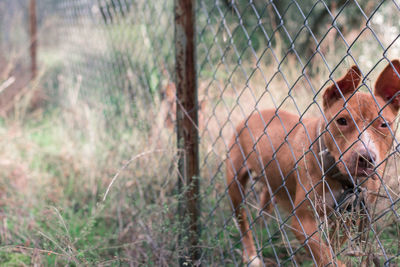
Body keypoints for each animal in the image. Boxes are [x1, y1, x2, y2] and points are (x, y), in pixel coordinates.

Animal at [227, 59, 400, 266]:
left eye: (384, 124)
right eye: (342, 120)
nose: (366, 158)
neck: (339, 174)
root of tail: (252, 115)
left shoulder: (347, 217)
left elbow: (331, 248)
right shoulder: (303, 220)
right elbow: (325, 254)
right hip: (235, 184)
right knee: (242, 220)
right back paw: (252, 255)